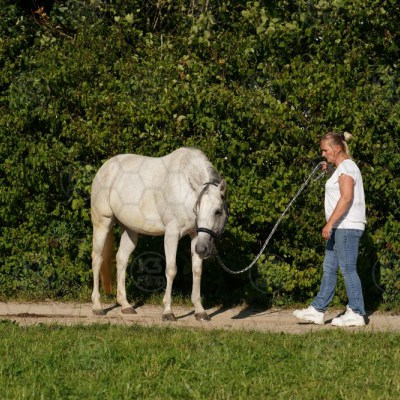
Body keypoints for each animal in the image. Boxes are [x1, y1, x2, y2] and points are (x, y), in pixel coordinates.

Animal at [90, 147, 227, 321]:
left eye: (218, 211)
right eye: (197, 209)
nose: (203, 249)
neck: (184, 189)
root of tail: (104, 168)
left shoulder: (196, 235)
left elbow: (197, 271)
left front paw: (200, 311)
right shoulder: (172, 233)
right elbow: (171, 269)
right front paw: (168, 312)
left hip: (129, 230)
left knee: (121, 259)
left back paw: (126, 306)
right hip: (102, 224)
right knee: (97, 259)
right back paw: (97, 307)